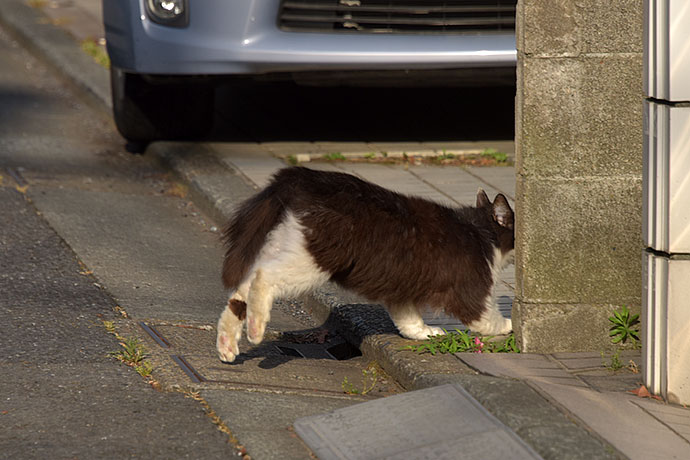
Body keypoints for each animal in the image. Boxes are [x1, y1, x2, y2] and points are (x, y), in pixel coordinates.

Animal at [215, 166, 510, 362]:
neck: (477, 229)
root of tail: (303, 176)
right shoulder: (472, 288)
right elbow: (485, 317)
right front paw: (508, 326)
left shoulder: (400, 289)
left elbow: (408, 319)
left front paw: (425, 333)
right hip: (313, 261)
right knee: (263, 278)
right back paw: (255, 329)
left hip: (286, 245)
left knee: (243, 287)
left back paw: (227, 344)